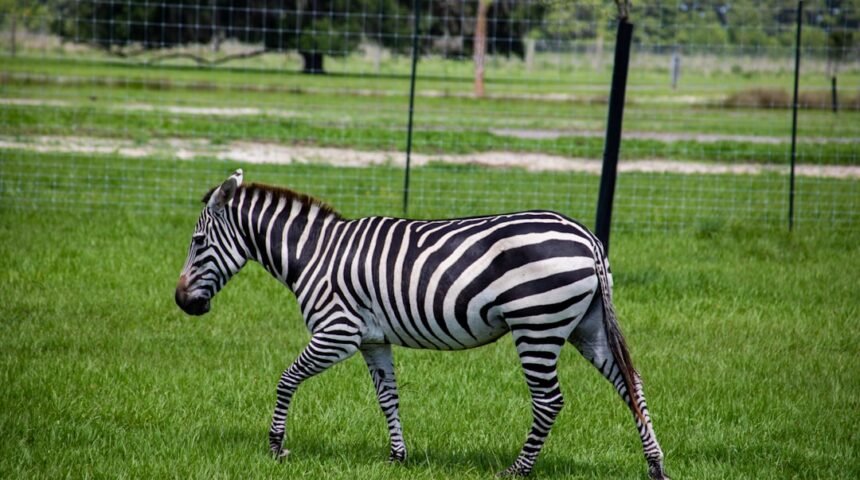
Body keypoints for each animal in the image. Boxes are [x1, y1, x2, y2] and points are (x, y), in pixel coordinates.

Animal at [175, 169, 669, 479]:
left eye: (197, 242)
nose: (182, 302)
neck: (314, 254)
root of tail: (587, 237)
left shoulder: (337, 332)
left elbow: (286, 380)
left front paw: (277, 447)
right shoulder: (372, 339)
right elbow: (387, 397)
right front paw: (398, 457)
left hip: (537, 326)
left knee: (550, 400)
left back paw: (518, 470)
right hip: (586, 326)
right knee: (632, 385)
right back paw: (656, 467)